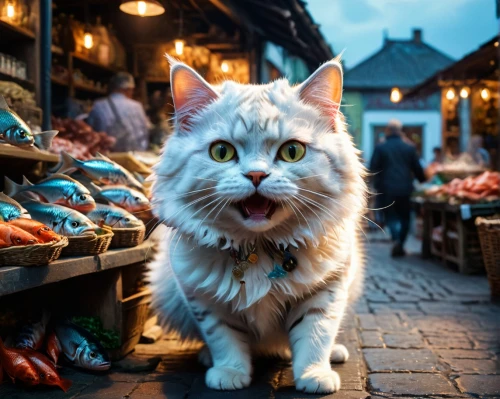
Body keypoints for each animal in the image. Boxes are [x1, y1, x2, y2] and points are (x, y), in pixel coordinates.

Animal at [148, 57, 368, 396]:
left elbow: (315, 335)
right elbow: (224, 339)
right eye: (221, 152)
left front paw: (315, 376)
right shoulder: (203, 298)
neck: (259, 248)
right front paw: (229, 374)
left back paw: (334, 355)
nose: (255, 175)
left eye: (292, 151)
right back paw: (206, 359)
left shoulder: (328, 288)